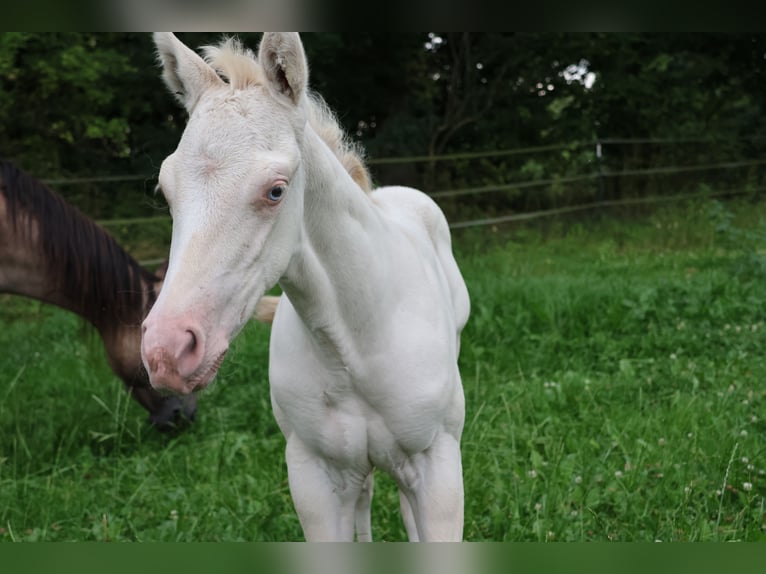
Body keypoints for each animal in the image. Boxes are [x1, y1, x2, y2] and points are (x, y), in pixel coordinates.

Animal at [142, 33, 470, 541]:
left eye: (276, 190)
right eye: (165, 191)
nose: (167, 351)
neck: (356, 343)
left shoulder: (438, 465)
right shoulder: (313, 476)